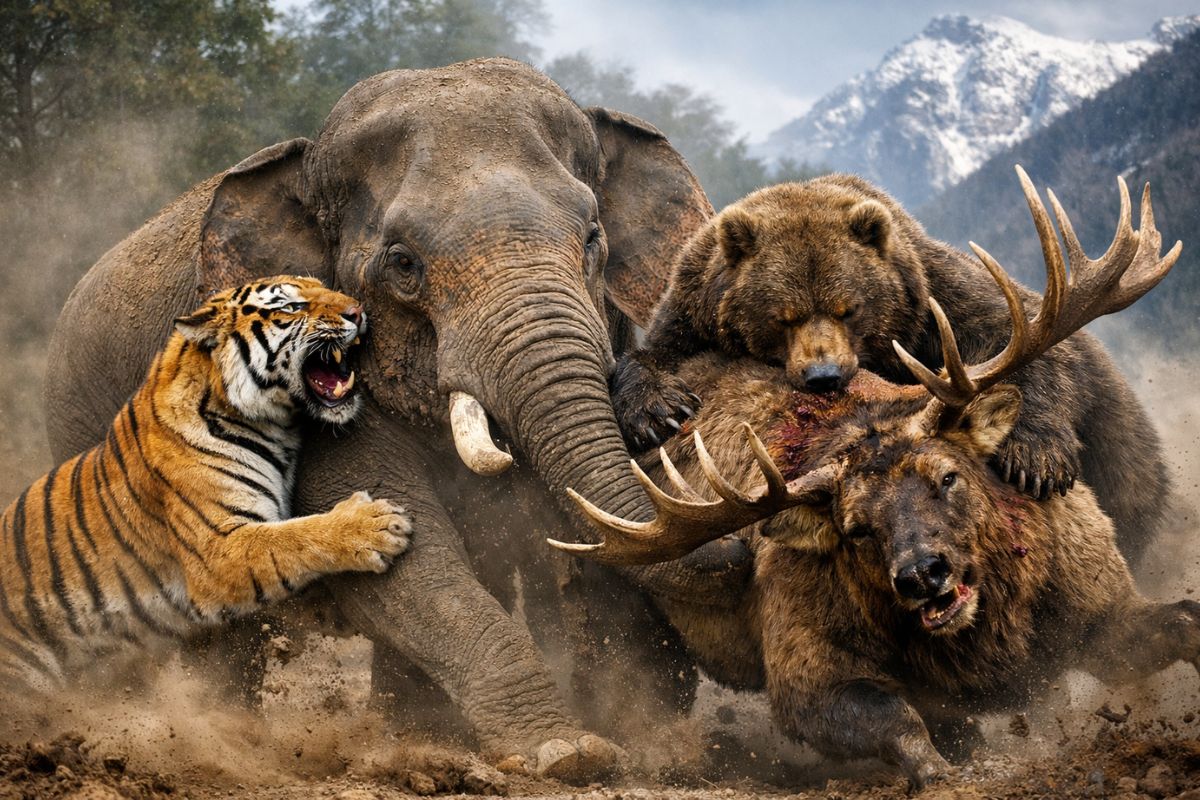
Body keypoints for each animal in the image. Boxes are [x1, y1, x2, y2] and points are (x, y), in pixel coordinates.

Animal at [0, 276, 410, 690]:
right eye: (291, 307)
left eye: (323, 286)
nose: (357, 310)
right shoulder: (218, 550)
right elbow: (294, 539)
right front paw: (376, 524)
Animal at [41, 58, 748, 778]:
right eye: (403, 265)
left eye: (593, 240)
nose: (739, 549)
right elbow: (399, 541)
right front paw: (566, 752)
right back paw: (217, 737)